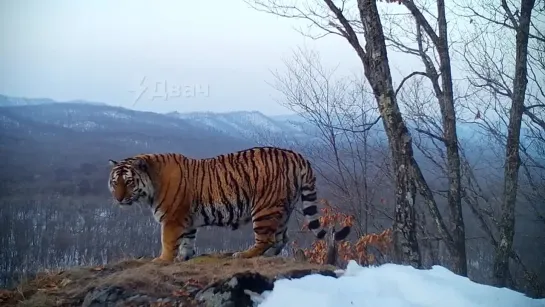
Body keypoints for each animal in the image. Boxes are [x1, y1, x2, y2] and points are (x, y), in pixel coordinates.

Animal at [108, 146, 350, 264]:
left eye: (128, 182)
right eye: (114, 182)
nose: (118, 199)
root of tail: (297, 156)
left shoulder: (172, 219)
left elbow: (167, 242)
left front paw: (162, 260)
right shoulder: (187, 220)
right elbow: (187, 240)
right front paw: (184, 257)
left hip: (264, 208)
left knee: (266, 238)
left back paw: (244, 255)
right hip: (283, 209)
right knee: (281, 238)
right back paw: (269, 256)